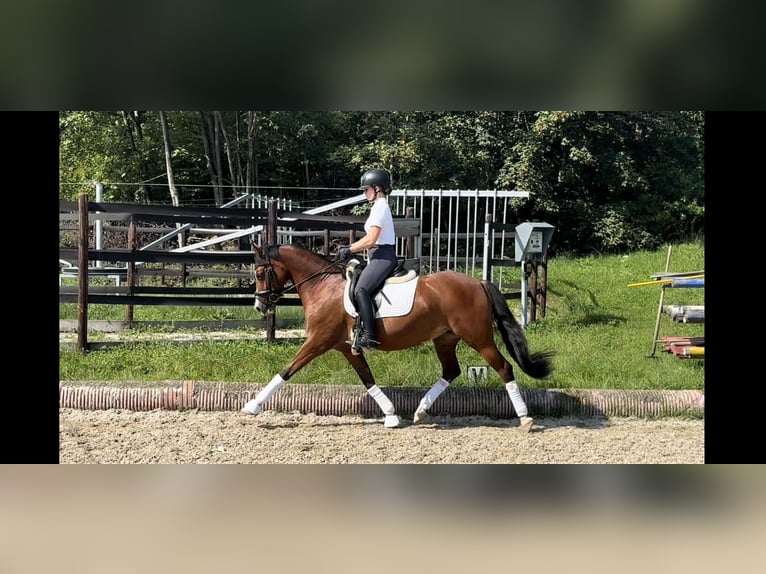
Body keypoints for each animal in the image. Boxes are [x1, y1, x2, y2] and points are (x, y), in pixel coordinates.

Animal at [243, 243, 556, 432]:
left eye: (259, 272)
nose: (259, 306)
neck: (322, 287)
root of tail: (478, 282)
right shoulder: (346, 348)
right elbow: (368, 380)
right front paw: (392, 415)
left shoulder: (318, 342)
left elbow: (286, 370)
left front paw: (252, 406)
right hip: (445, 339)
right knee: (450, 371)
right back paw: (420, 411)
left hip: (479, 339)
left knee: (504, 368)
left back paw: (525, 418)